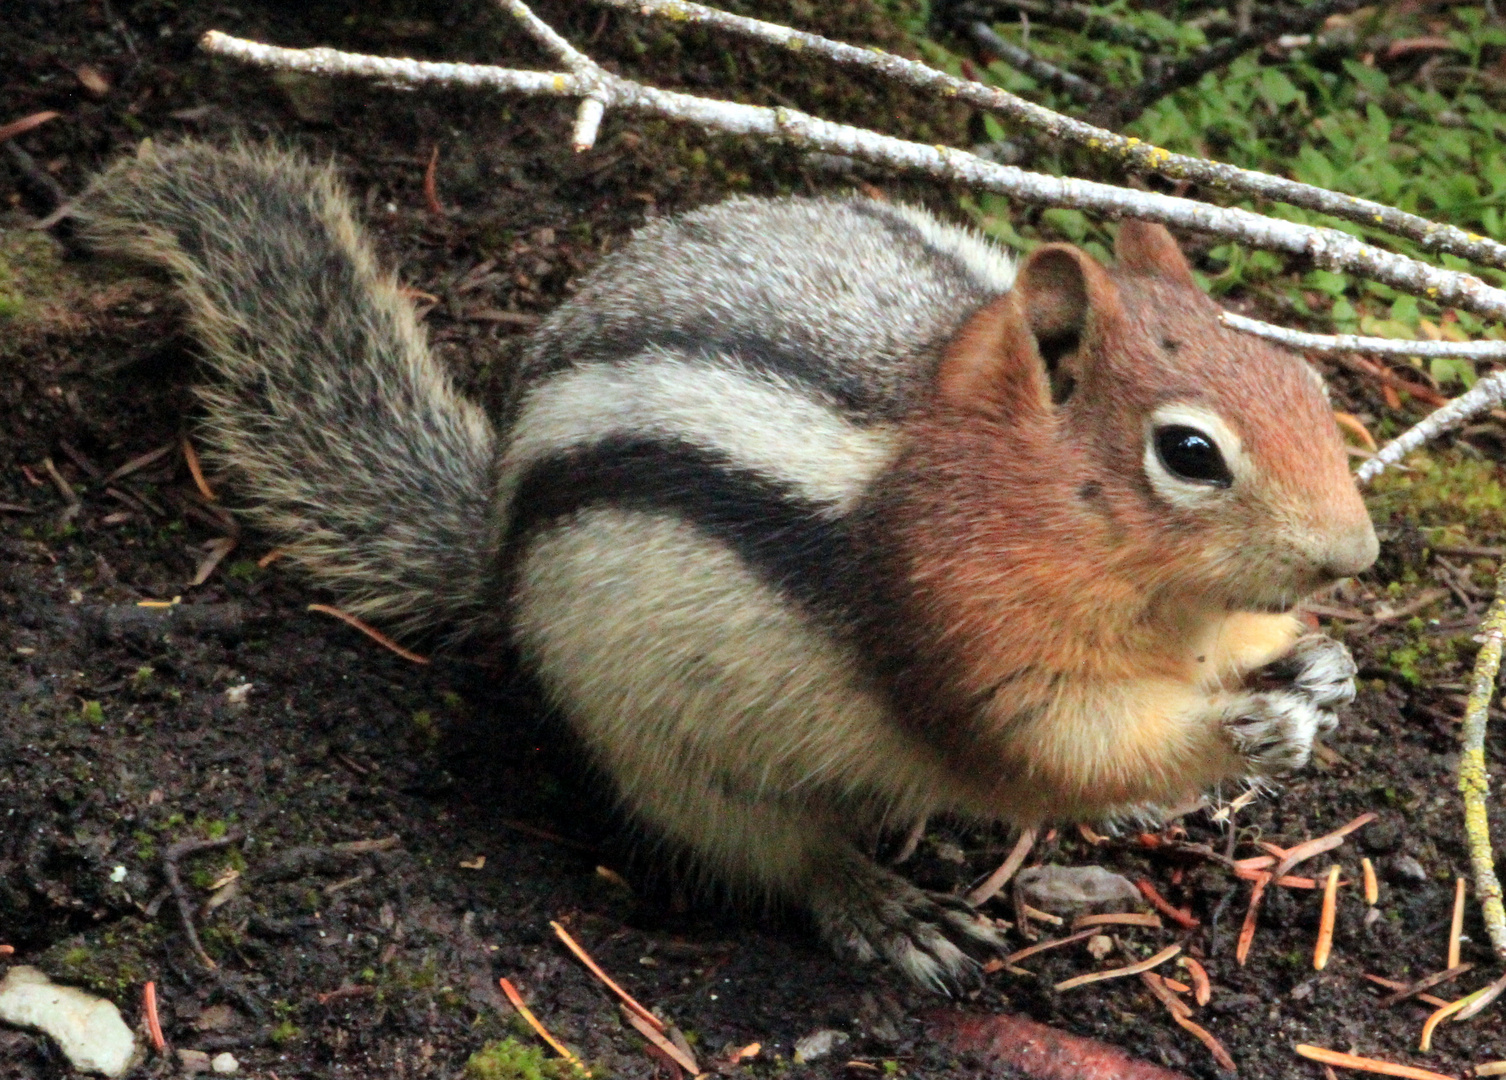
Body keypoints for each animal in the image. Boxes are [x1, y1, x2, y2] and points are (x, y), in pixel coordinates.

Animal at [76, 140, 1379, 988]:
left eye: (1308, 381)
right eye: (1190, 453)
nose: (1356, 553)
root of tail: (491, 547)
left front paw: (1321, 670)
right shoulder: (965, 635)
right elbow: (1061, 745)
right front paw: (1239, 725)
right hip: (671, 755)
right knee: (772, 851)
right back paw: (884, 908)